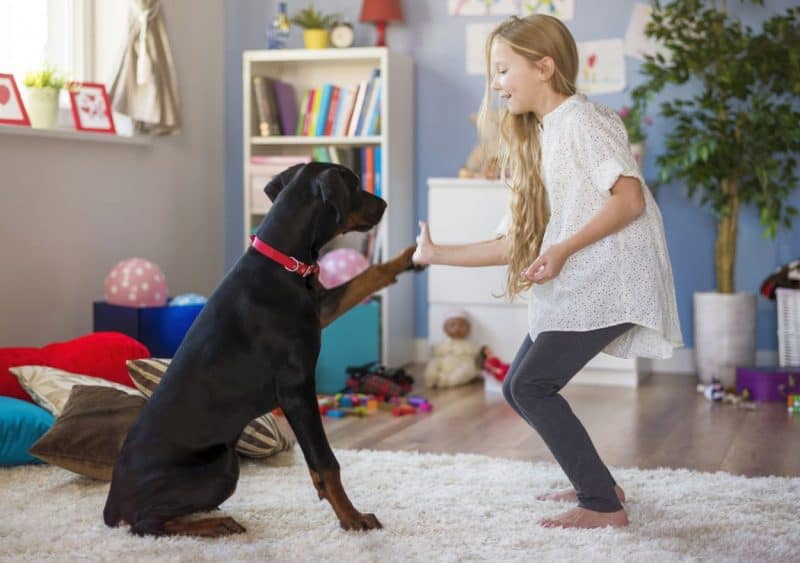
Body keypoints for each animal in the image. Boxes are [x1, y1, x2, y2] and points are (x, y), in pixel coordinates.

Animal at [102, 162, 418, 536]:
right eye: (355, 185)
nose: (384, 204)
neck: (284, 261)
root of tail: (112, 502)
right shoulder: (297, 389)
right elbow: (326, 462)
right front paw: (352, 518)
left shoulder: (320, 309)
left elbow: (366, 277)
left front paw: (409, 257)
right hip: (223, 465)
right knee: (146, 524)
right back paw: (216, 524)